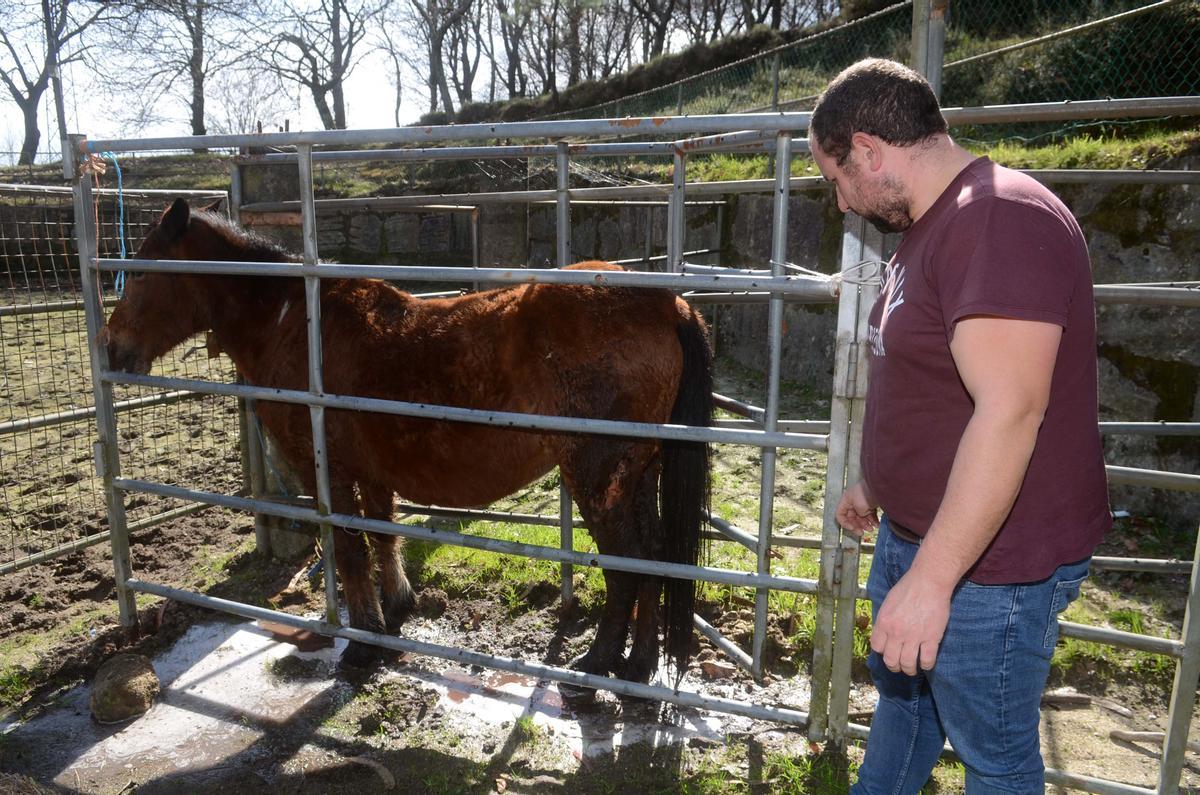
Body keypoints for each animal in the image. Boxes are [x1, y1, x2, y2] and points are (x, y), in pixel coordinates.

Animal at [100, 200, 710, 691]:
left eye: (141, 273)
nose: (110, 348)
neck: (294, 323)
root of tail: (667, 305)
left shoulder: (328, 472)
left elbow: (348, 550)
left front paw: (363, 644)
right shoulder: (372, 471)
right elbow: (382, 535)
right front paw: (395, 611)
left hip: (597, 476)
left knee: (628, 566)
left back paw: (597, 666)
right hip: (639, 473)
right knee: (656, 558)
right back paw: (639, 667)